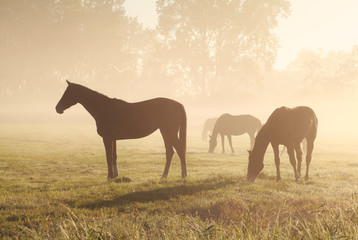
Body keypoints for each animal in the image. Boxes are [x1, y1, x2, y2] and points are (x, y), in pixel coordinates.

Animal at [56, 79, 187, 179]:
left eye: (67, 93)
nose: (57, 108)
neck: (104, 108)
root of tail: (178, 104)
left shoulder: (107, 139)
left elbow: (108, 157)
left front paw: (109, 177)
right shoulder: (113, 139)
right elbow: (114, 156)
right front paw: (115, 176)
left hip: (168, 132)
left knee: (179, 150)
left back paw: (181, 175)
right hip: (165, 132)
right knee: (171, 152)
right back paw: (165, 176)